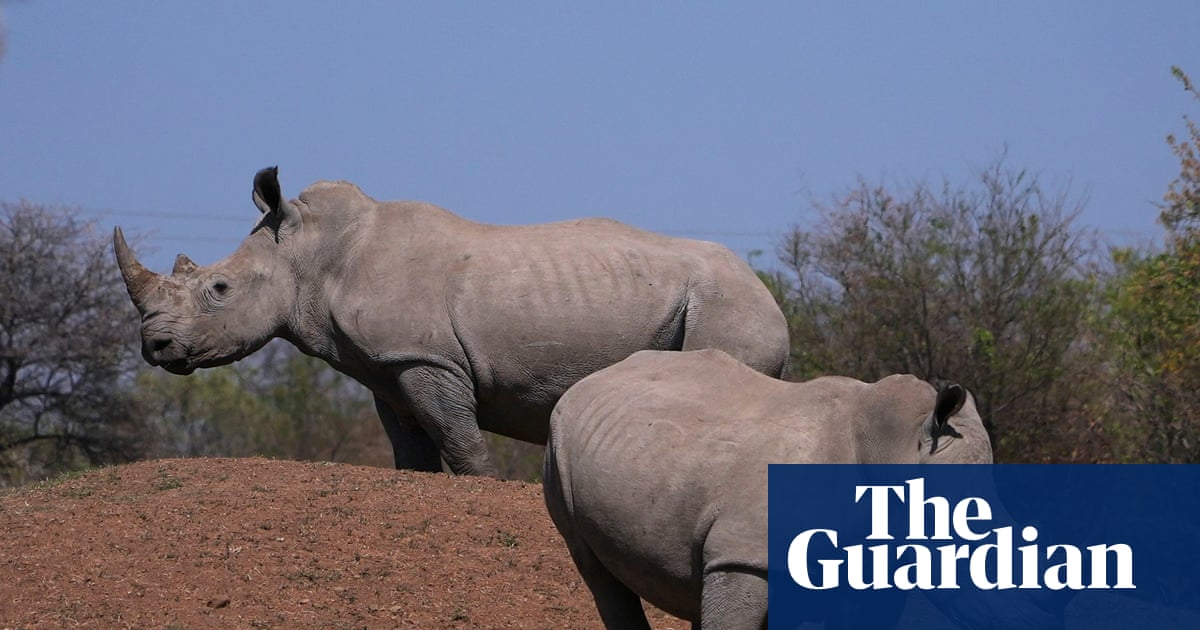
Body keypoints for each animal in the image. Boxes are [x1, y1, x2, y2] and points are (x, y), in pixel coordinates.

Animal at [114, 167, 790, 476]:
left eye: (218, 289)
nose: (155, 346)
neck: (311, 255)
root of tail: (772, 298)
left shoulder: (424, 356)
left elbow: (461, 442)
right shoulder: (386, 368)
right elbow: (411, 449)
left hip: (727, 306)